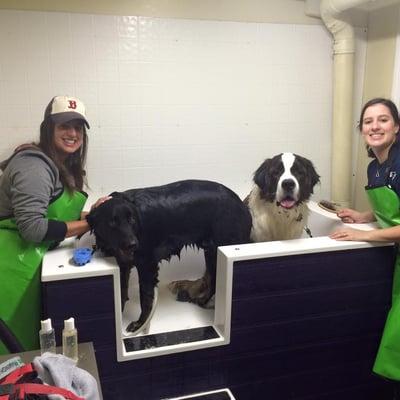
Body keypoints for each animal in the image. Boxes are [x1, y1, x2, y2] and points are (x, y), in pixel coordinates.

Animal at [86, 180, 252, 332]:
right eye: (112, 222)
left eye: (131, 219)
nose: (133, 244)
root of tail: (243, 205)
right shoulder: (123, 266)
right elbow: (120, 294)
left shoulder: (147, 266)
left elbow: (145, 299)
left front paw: (140, 324)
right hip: (212, 253)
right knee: (213, 280)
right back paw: (202, 300)